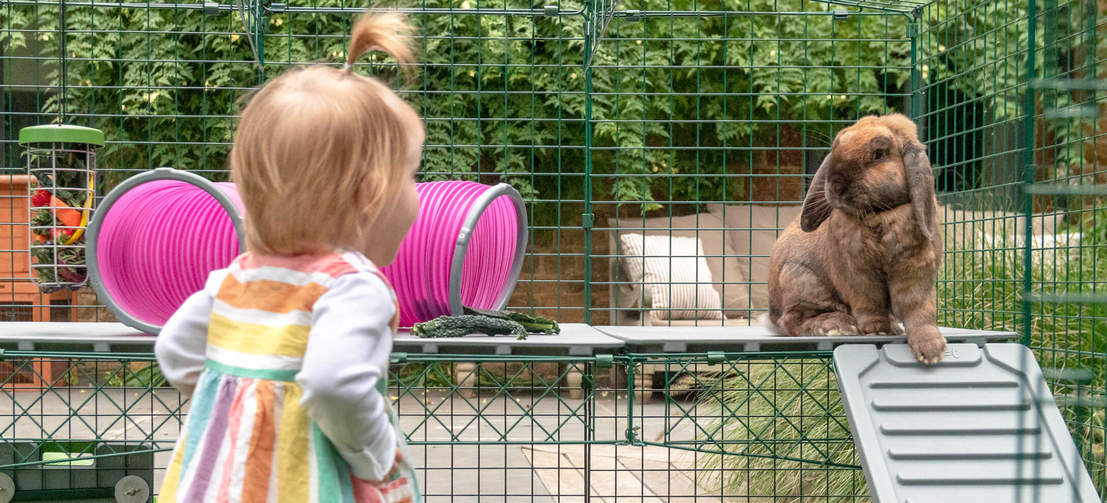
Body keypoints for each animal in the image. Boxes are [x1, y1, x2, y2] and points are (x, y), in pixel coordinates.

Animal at [765, 113, 946, 364]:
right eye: (835, 149)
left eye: (879, 154)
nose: (835, 186)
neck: (879, 213)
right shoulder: (858, 274)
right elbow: (869, 304)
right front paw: (877, 331)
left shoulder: (916, 271)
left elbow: (919, 310)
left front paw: (932, 351)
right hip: (799, 278)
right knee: (793, 318)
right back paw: (837, 326)